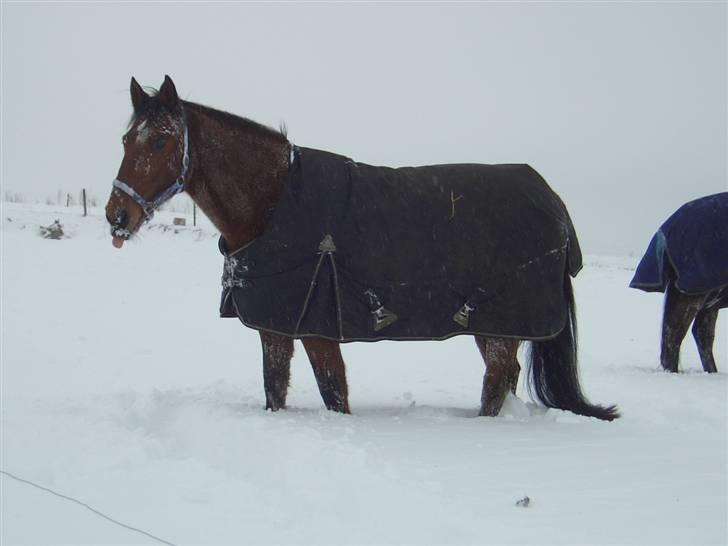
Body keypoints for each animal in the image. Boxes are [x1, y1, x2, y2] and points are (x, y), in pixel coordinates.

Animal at [105, 74, 616, 418]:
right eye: (127, 139)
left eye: (162, 141)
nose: (117, 216)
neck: (276, 202)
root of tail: (554, 204)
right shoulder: (276, 328)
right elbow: (276, 391)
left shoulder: (316, 331)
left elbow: (334, 395)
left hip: (498, 330)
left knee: (494, 386)